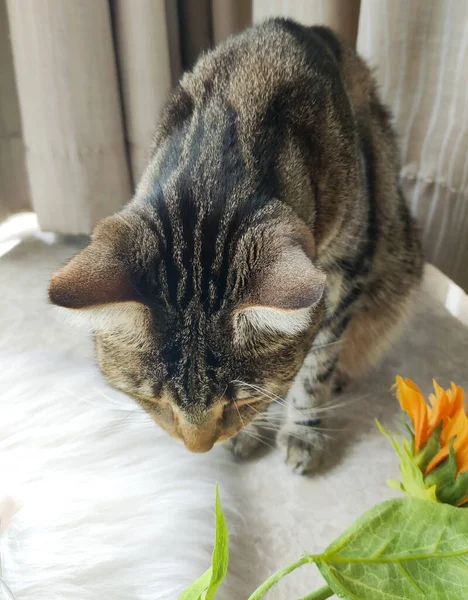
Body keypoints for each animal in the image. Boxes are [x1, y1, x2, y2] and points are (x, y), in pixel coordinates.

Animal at [49, 18, 422, 474]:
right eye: (156, 401)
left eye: (240, 400)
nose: (198, 448)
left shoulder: (347, 269)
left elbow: (315, 366)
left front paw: (301, 430)